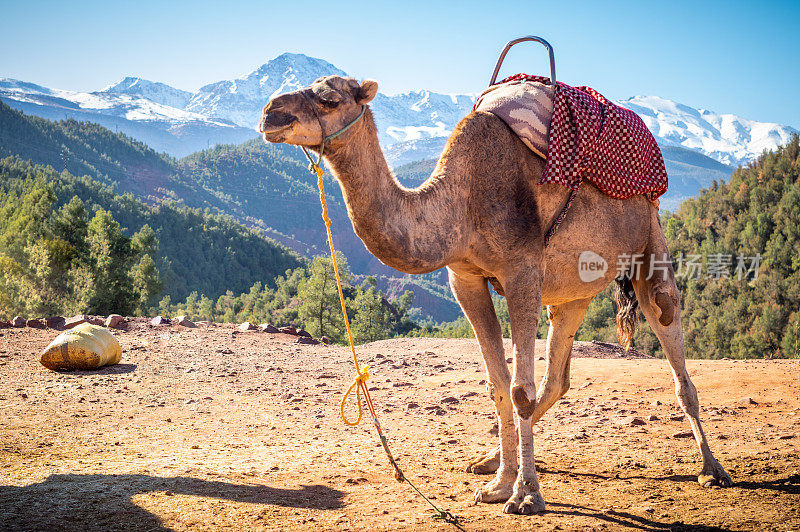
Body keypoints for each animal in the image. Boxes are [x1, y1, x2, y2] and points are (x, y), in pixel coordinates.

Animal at [260, 77, 736, 512]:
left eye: (329, 97)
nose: (270, 114)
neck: (461, 203)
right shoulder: (465, 278)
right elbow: (499, 384)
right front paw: (500, 482)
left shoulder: (522, 271)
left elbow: (519, 389)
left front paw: (526, 495)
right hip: (574, 289)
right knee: (557, 376)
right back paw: (491, 459)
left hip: (649, 240)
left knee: (669, 331)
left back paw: (712, 469)